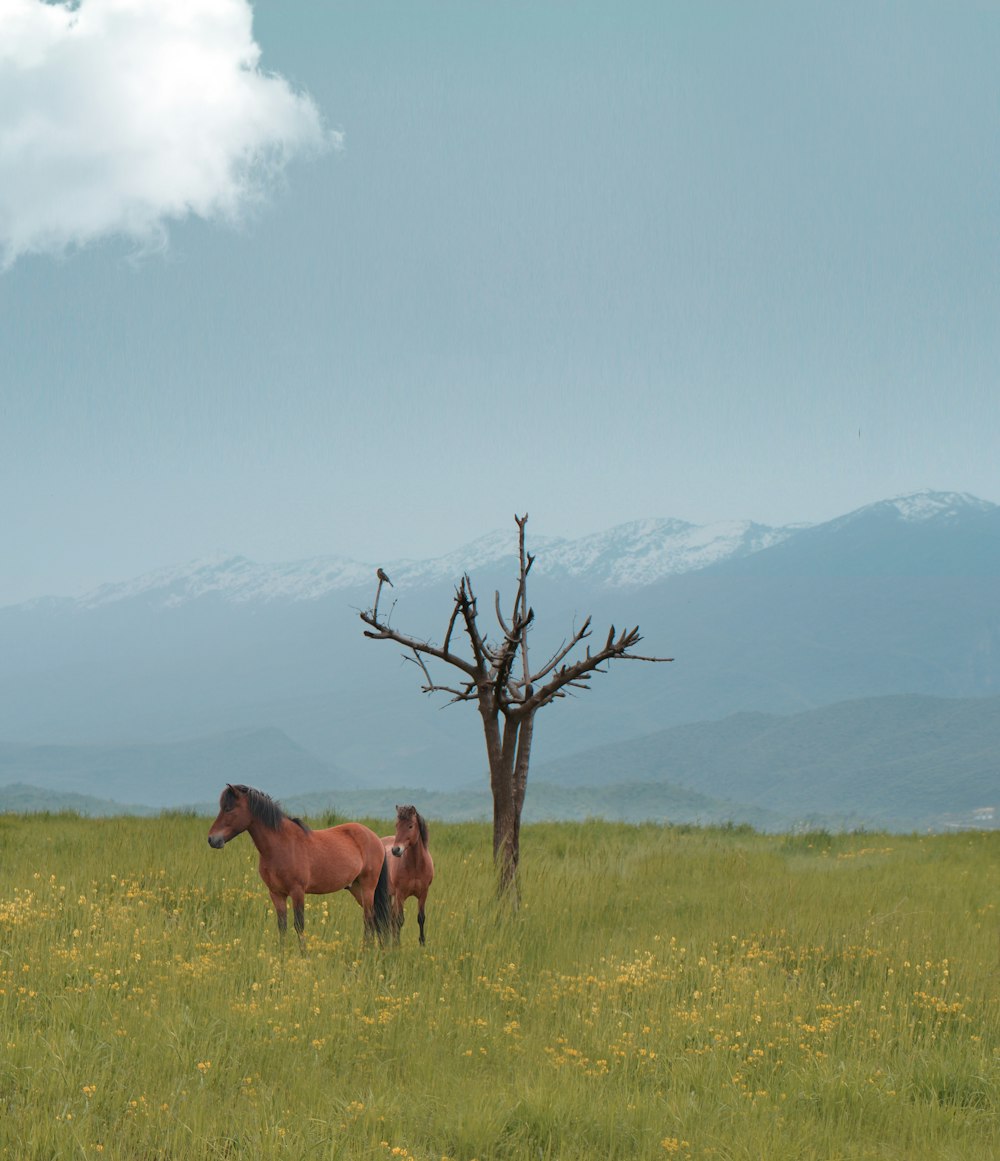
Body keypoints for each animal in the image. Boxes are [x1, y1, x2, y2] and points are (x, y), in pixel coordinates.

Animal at [209, 780, 392, 952]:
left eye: (229, 808)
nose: (212, 840)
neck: (281, 845)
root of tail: (375, 838)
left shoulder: (297, 891)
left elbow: (299, 925)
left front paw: (304, 955)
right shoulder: (276, 893)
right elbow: (282, 926)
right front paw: (281, 955)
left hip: (368, 887)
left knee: (369, 918)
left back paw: (367, 951)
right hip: (356, 888)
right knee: (373, 918)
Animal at [378, 808, 432, 942]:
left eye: (410, 826)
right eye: (397, 825)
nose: (396, 850)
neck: (415, 866)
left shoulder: (423, 893)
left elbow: (421, 918)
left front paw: (422, 942)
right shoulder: (401, 894)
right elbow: (399, 920)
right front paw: (398, 943)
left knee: (390, 917)